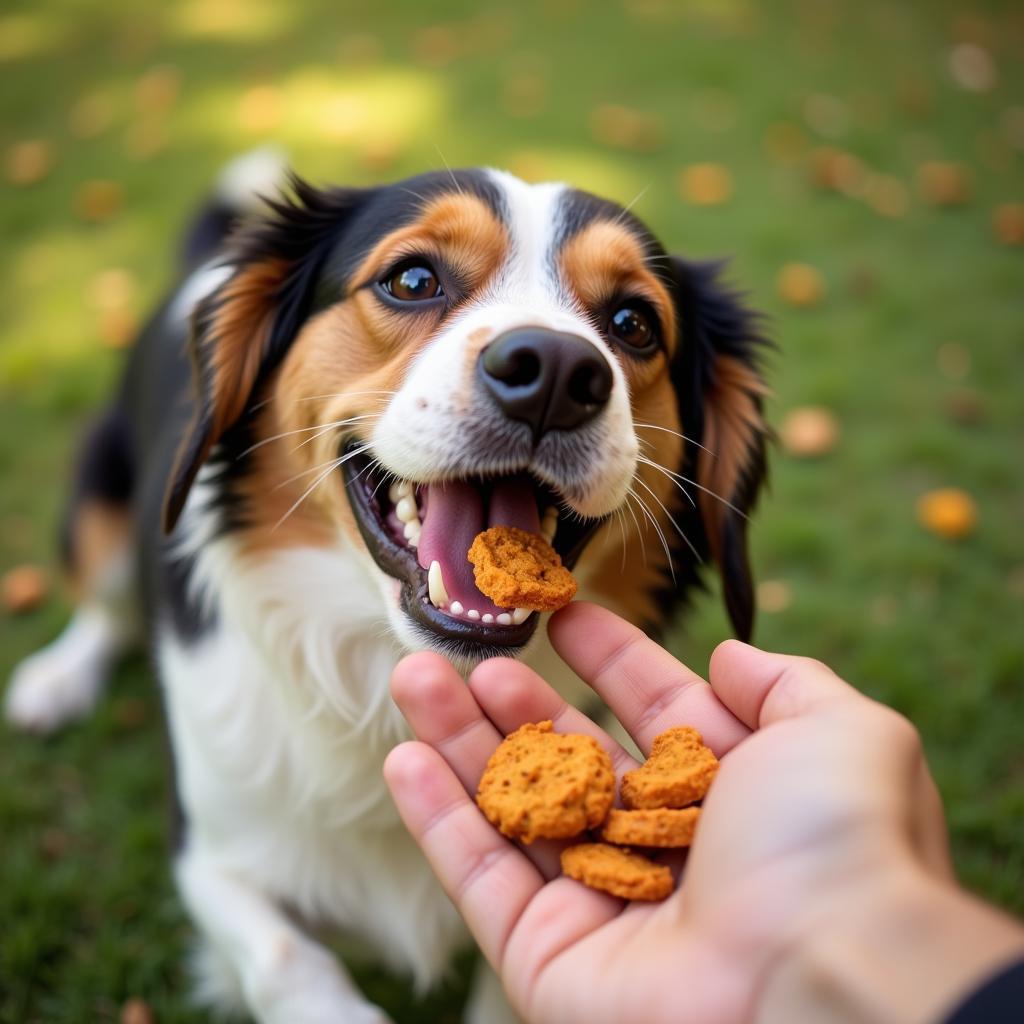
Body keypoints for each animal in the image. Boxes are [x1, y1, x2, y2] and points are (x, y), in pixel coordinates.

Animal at [6, 153, 770, 1024]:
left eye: (635, 322)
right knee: (102, 611)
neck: (385, 688)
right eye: (412, 279)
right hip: (96, 507)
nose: (554, 372)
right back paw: (55, 681)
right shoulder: (206, 854)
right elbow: (288, 959)